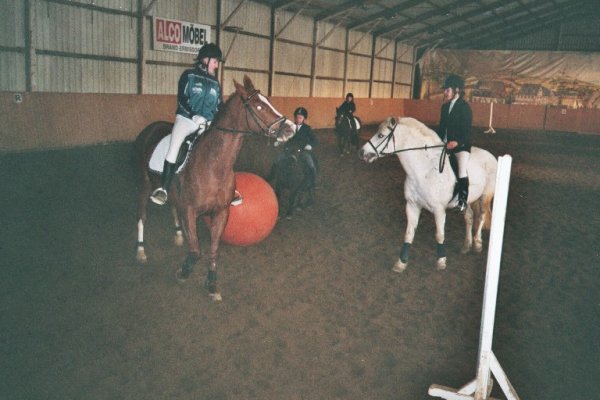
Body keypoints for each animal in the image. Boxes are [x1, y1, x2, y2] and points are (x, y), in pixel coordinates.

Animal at [134, 76, 295, 301]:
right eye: (259, 106)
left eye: (267, 101)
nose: (290, 128)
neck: (214, 165)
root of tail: (150, 128)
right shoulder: (190, 211)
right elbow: (195, 251)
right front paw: (184, 272)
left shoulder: (221, 212)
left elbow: (213, 250)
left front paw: (211, 284)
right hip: (144, 184)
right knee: (141, 216)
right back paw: (141, 252)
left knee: (172, 206)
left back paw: (178, 234)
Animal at [358, 116, 497, 271]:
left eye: (381, 135)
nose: (362, 152)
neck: (424, 169)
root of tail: (491, 156)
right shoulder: (412, 205)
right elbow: (409, 234)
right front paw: (401, 263)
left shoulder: (439, 210)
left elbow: (439, 235)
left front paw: (441, 261)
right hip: (468, 200)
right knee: (469, 218)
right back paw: (466, 245)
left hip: (485, 196)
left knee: (482, 216)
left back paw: (477, 243)